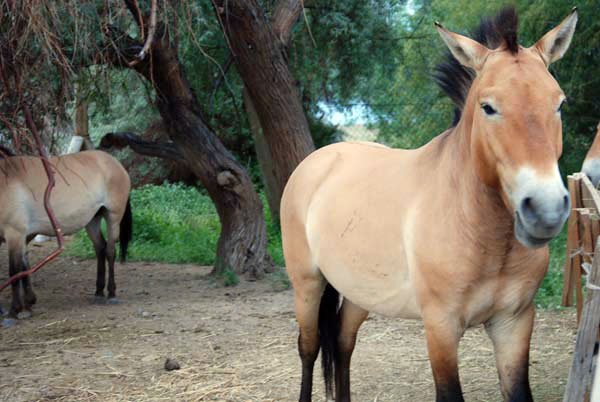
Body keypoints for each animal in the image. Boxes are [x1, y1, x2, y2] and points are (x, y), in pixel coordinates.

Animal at [0, 150, 132, 318]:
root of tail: (114, 162)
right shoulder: (21, 237)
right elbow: (23, 267)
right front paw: (28, 303)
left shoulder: (15, 234)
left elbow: (14, 271)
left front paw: (14, 309)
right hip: (92, 220)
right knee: (100, 248)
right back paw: (98, 292)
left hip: (113, 217)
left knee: (110, 251)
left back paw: (111, 293)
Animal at [284, 7, 580, 402]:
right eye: (488, 107)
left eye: (560, 103)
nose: (545, 210)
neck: (480, 232)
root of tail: (317, 161)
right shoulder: (441, 328)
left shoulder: (514, 323)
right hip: (307, 285)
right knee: (309, 348)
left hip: (360, 292)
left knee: (344, 343)